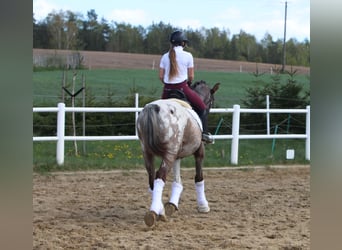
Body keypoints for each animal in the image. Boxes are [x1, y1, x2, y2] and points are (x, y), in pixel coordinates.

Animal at [136, 80, 219, 227]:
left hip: (148, 153)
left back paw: (160, 211)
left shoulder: (176, 155)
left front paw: (172, 204)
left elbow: (177, 180)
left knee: (152, 179)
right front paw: (203, 206)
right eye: (211, 101)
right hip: (168, 154)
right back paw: (154, 214)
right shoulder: (199, 151)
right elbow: (199, 177)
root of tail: (152, 108)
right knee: (160, 176)